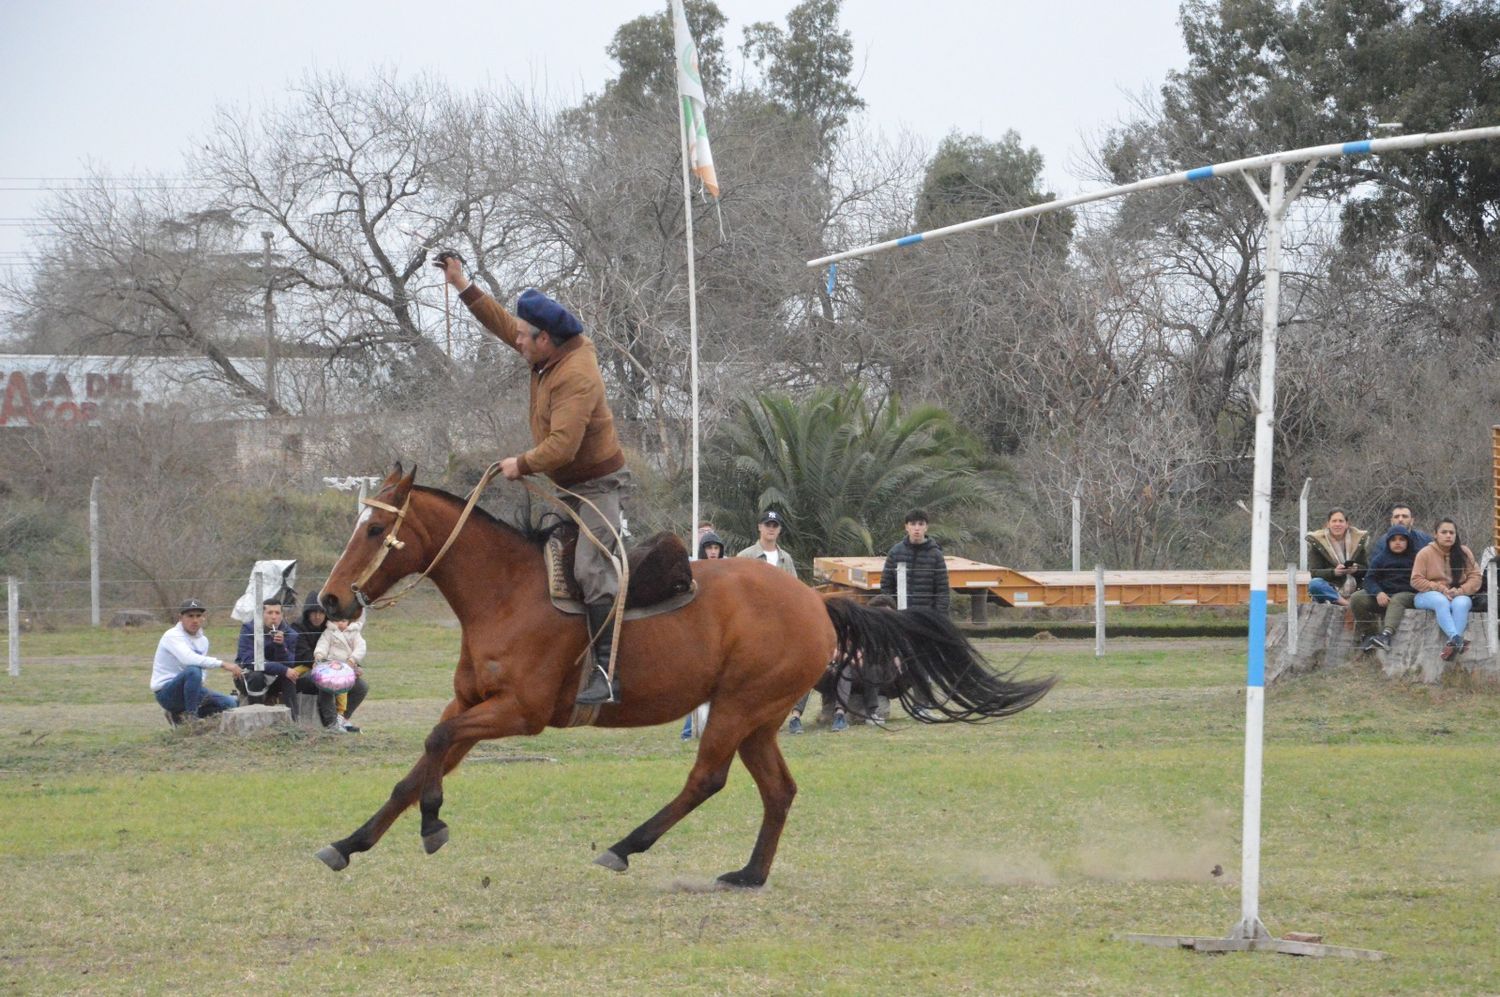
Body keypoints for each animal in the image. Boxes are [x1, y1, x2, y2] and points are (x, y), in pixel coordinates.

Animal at [310, 464, 1050, 887]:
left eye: (374, 530)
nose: (331, 600)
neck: (506, 593)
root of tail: (817, 601)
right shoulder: (473, 703)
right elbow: (420, 764)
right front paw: (350, 842)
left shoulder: (518, 711)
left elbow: (434, 751)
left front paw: (431, 825)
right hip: (759, 717)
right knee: (778, 791)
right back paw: (749, 874)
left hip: (738, 708)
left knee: (707, 779)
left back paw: (625, 847)